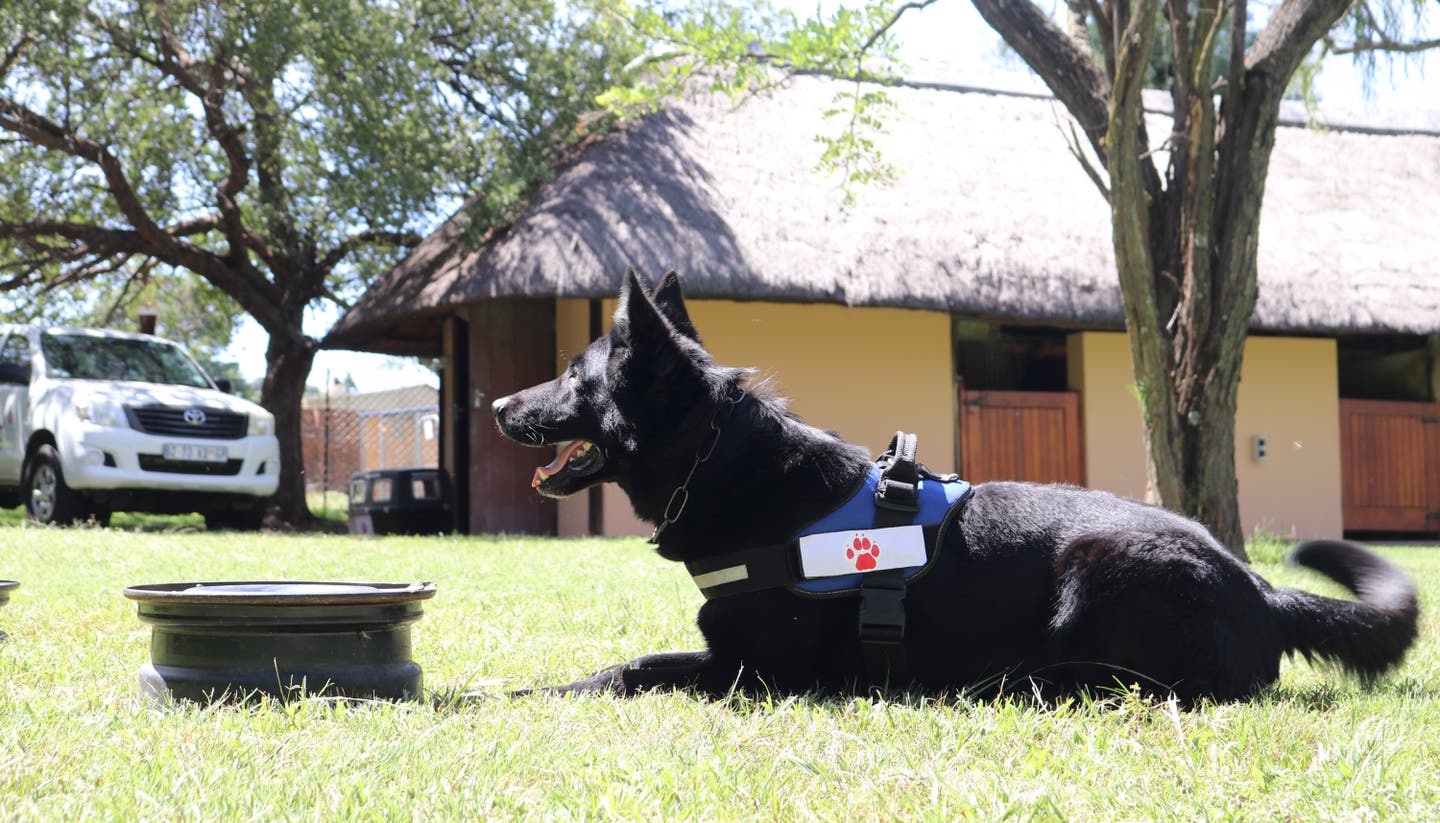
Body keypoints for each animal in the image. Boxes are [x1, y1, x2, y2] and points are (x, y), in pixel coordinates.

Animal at [495, 270, 1416, 702]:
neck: (725, 463)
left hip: (1098, 569)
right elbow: (632, 661)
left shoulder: (757, 672)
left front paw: (517, 690)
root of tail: (1259, 585)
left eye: (573, 376)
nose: (498, 403)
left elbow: (630, 668)